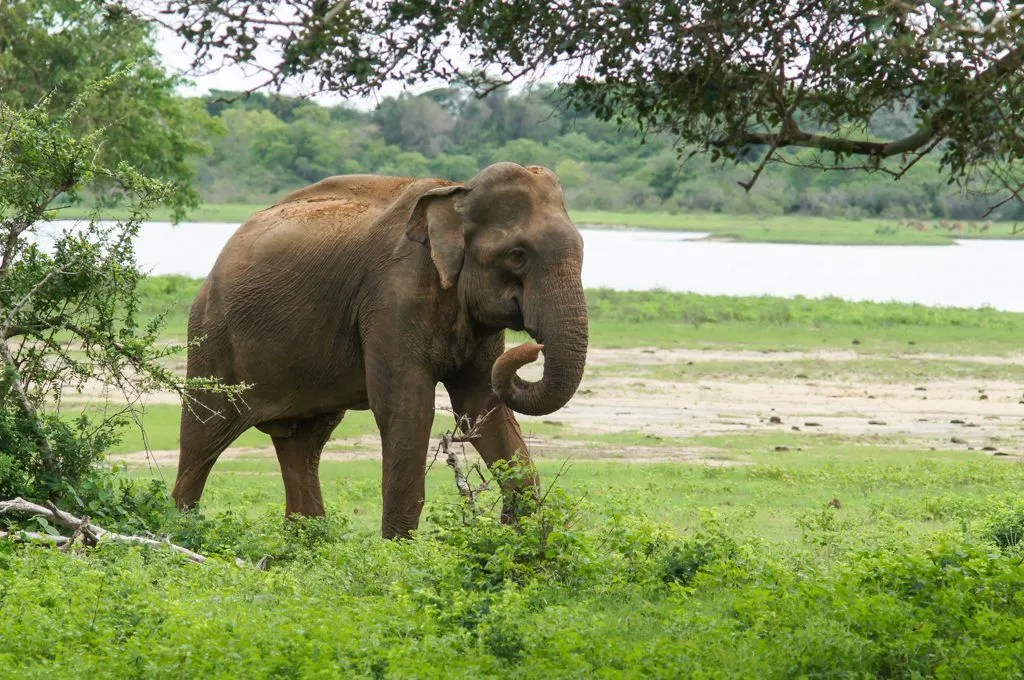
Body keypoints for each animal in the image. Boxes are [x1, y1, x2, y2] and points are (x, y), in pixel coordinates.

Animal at [166, 163, 585, 536]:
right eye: (517, 256)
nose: (533, 346)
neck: (456, 193)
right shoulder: (392, 297)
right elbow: (407, 409)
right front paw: (398, 556)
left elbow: (482, 408)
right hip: (213, 334)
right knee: (204, 437)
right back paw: (181, 532)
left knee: (303, 442)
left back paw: (307, 544)